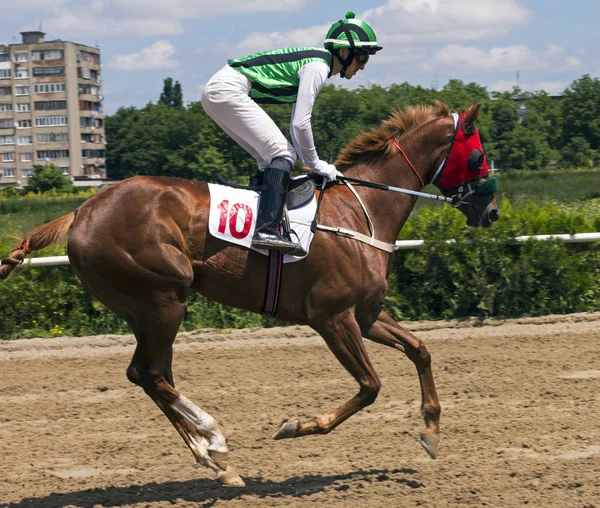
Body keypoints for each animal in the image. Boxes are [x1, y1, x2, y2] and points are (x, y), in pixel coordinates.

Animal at [0, 101, 496, 486]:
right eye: (477, 157)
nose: (490, 211)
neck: (361, 212)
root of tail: (81, 209)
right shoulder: (332, 318)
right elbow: (370, 386)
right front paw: (296, 425)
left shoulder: (366, 314)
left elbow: (420, 349)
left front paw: (431, 431)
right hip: (164, 297)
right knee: (149, 372)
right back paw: (214, 437)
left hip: (145, 309)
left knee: (151, 374)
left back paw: (215, 461)